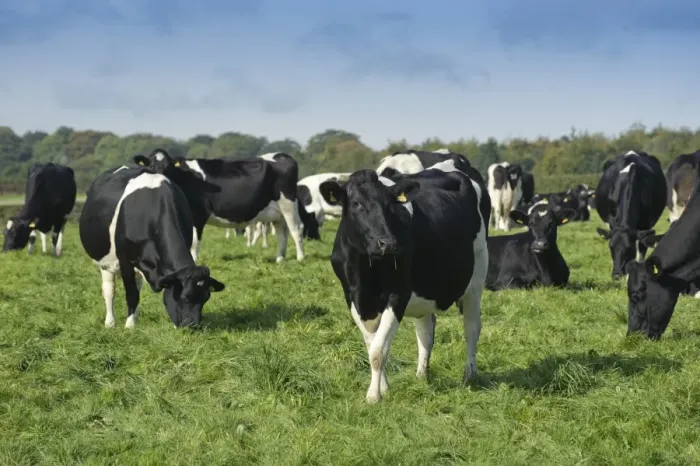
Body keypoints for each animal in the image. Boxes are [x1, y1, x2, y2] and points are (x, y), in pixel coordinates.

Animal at [79, 166, 225, 328]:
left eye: (206, 298)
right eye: (185, 297)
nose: (193, 326)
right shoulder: (125, 261)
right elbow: (131, 294)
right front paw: (129, 326)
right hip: (105, 262)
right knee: (109, 290)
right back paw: (110, 323)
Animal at [133, 149, 305, 263]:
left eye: (168, 167)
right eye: (151, 167)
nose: (162, 179)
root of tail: (282, 155)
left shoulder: (198, 215)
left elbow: (194, 242)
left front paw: (194, 261)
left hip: (288, 203)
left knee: (296, 230)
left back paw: (300, 257)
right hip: (277, 213)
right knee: (282, 234)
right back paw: (280, 259)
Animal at [320, 164, 490, 403]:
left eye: (390, 205)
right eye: (356, 204)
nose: (388, 243)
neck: (366, 270)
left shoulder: (398, 294)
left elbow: (378, 350)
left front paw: (373, 396)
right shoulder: (352, 296)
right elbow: (373, 344)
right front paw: (383, 387)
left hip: (476, 281)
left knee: (472, 328)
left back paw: (470, 375)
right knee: (426, 332)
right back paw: (421, 375)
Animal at [594, 150, 667, 280]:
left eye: (629, 248)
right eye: (610, 247)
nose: (616, 275)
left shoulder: (645, 225)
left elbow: (641, 250)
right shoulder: (612, 222)